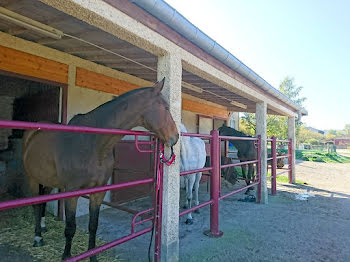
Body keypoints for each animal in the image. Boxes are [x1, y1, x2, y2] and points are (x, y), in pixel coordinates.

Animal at [22, 79, 178, 260]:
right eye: (166, 107)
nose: (176, 137)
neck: (92, 142)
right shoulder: (72, 192)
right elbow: (70, 227)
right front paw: (67, 256)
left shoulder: (99, 191)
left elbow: (93, 225)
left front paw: (93, 256)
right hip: (32, 178)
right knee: (36, 204)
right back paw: (38, 237)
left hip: (48, 180)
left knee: (43, 200)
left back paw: (43, 227)